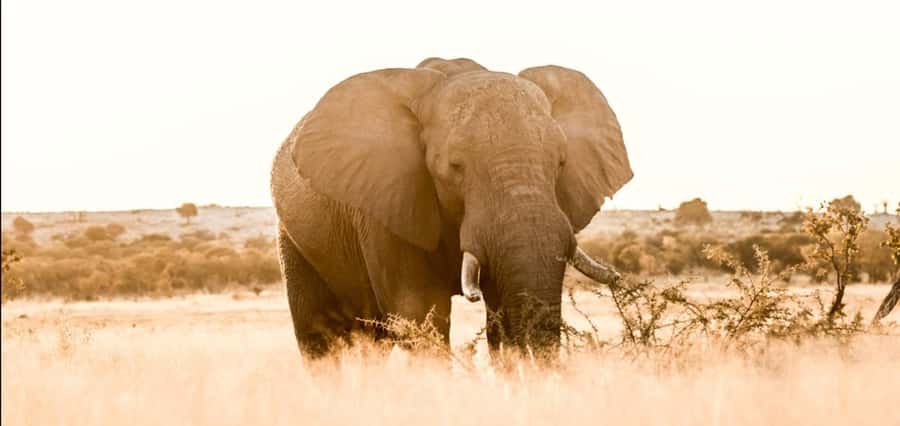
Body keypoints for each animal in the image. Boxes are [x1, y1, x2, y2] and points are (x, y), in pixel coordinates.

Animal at [270, 57, 632, 358]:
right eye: (455, 166)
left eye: (561, 163)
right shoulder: (386, 204)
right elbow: (419, 310)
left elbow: (500, 310)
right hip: (293, 237)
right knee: (318, 337)